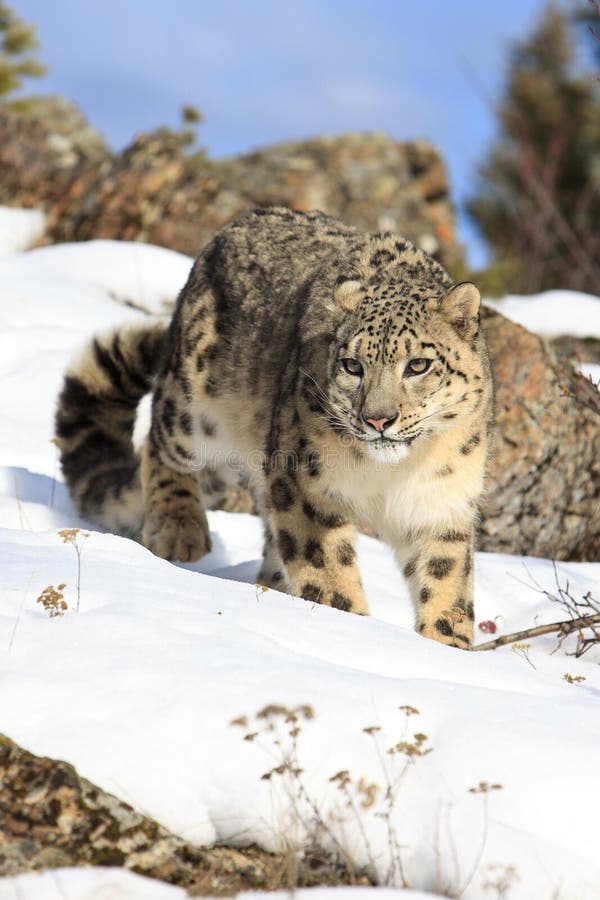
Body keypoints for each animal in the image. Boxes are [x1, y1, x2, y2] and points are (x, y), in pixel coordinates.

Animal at [57, 209, 492, 648]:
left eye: (418, 365)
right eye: (352, 365)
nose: (378, 419)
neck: (390, 475)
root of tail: (237, 222)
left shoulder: (442, 502)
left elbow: (446, 580)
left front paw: (446, 646)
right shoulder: (306, 481)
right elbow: (326, 566)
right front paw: (349, 626)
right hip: (195, 402)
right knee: (161, 444)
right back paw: (178, 529)